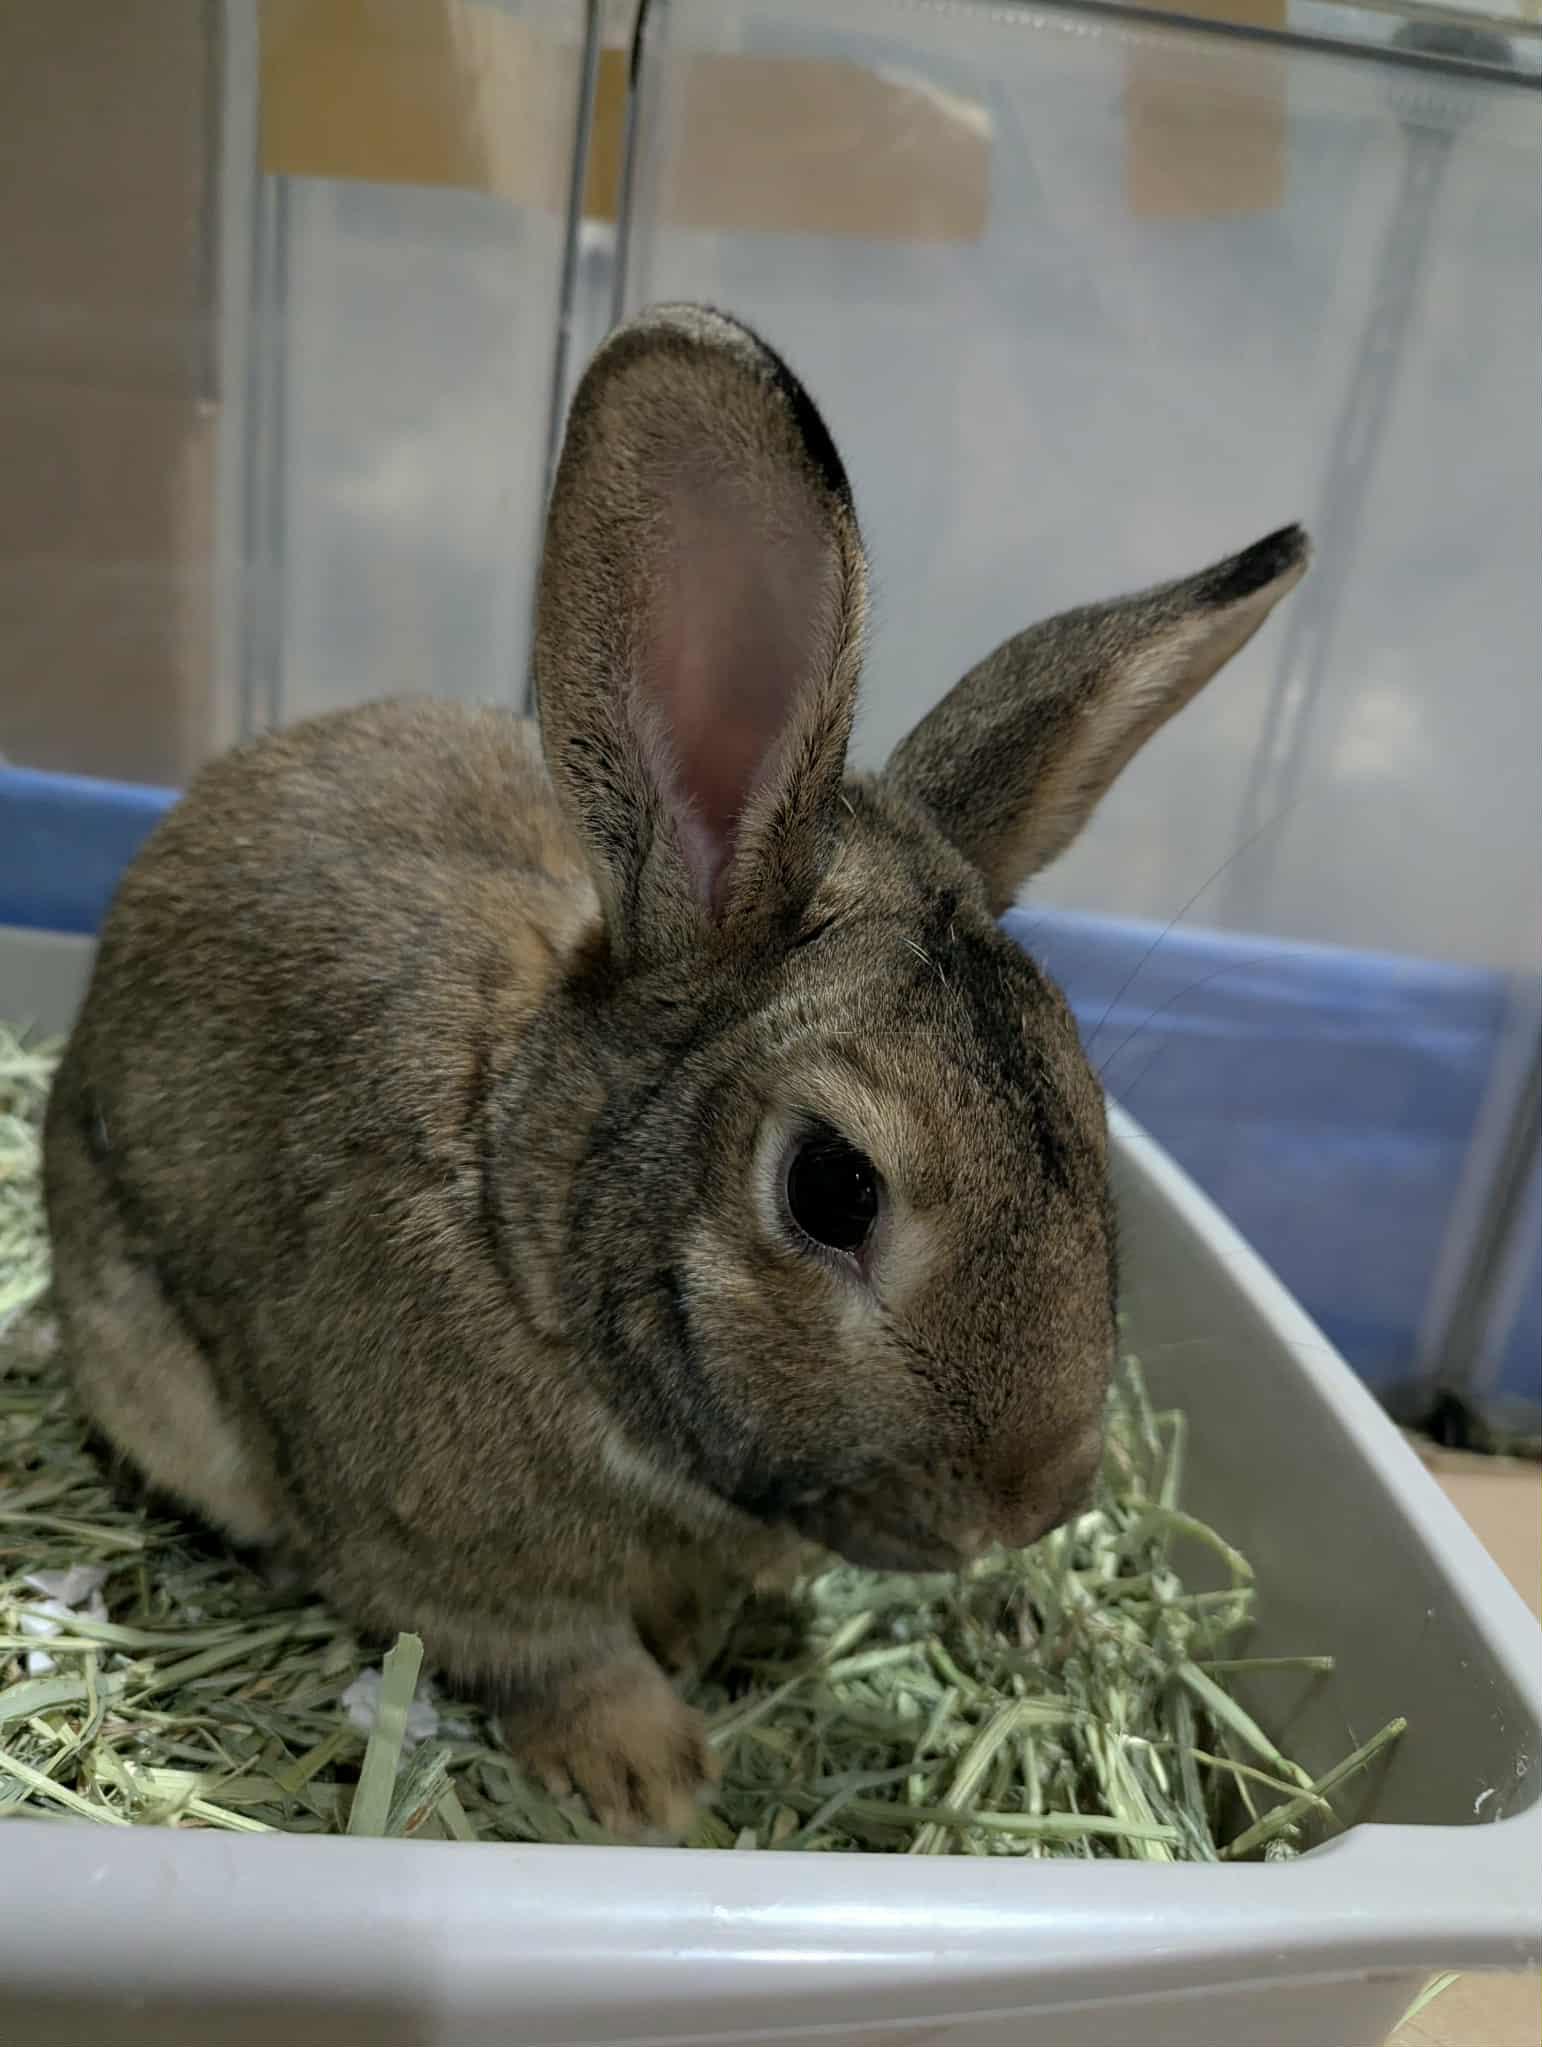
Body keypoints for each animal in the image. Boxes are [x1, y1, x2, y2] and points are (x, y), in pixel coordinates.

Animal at [43, 303, 1308, 1837]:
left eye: (1087, 1112)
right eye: (830, 1188)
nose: (1034, 1500)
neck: (526, 1220)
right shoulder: (452, 1554)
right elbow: (553, 1650)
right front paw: (647, 1773)